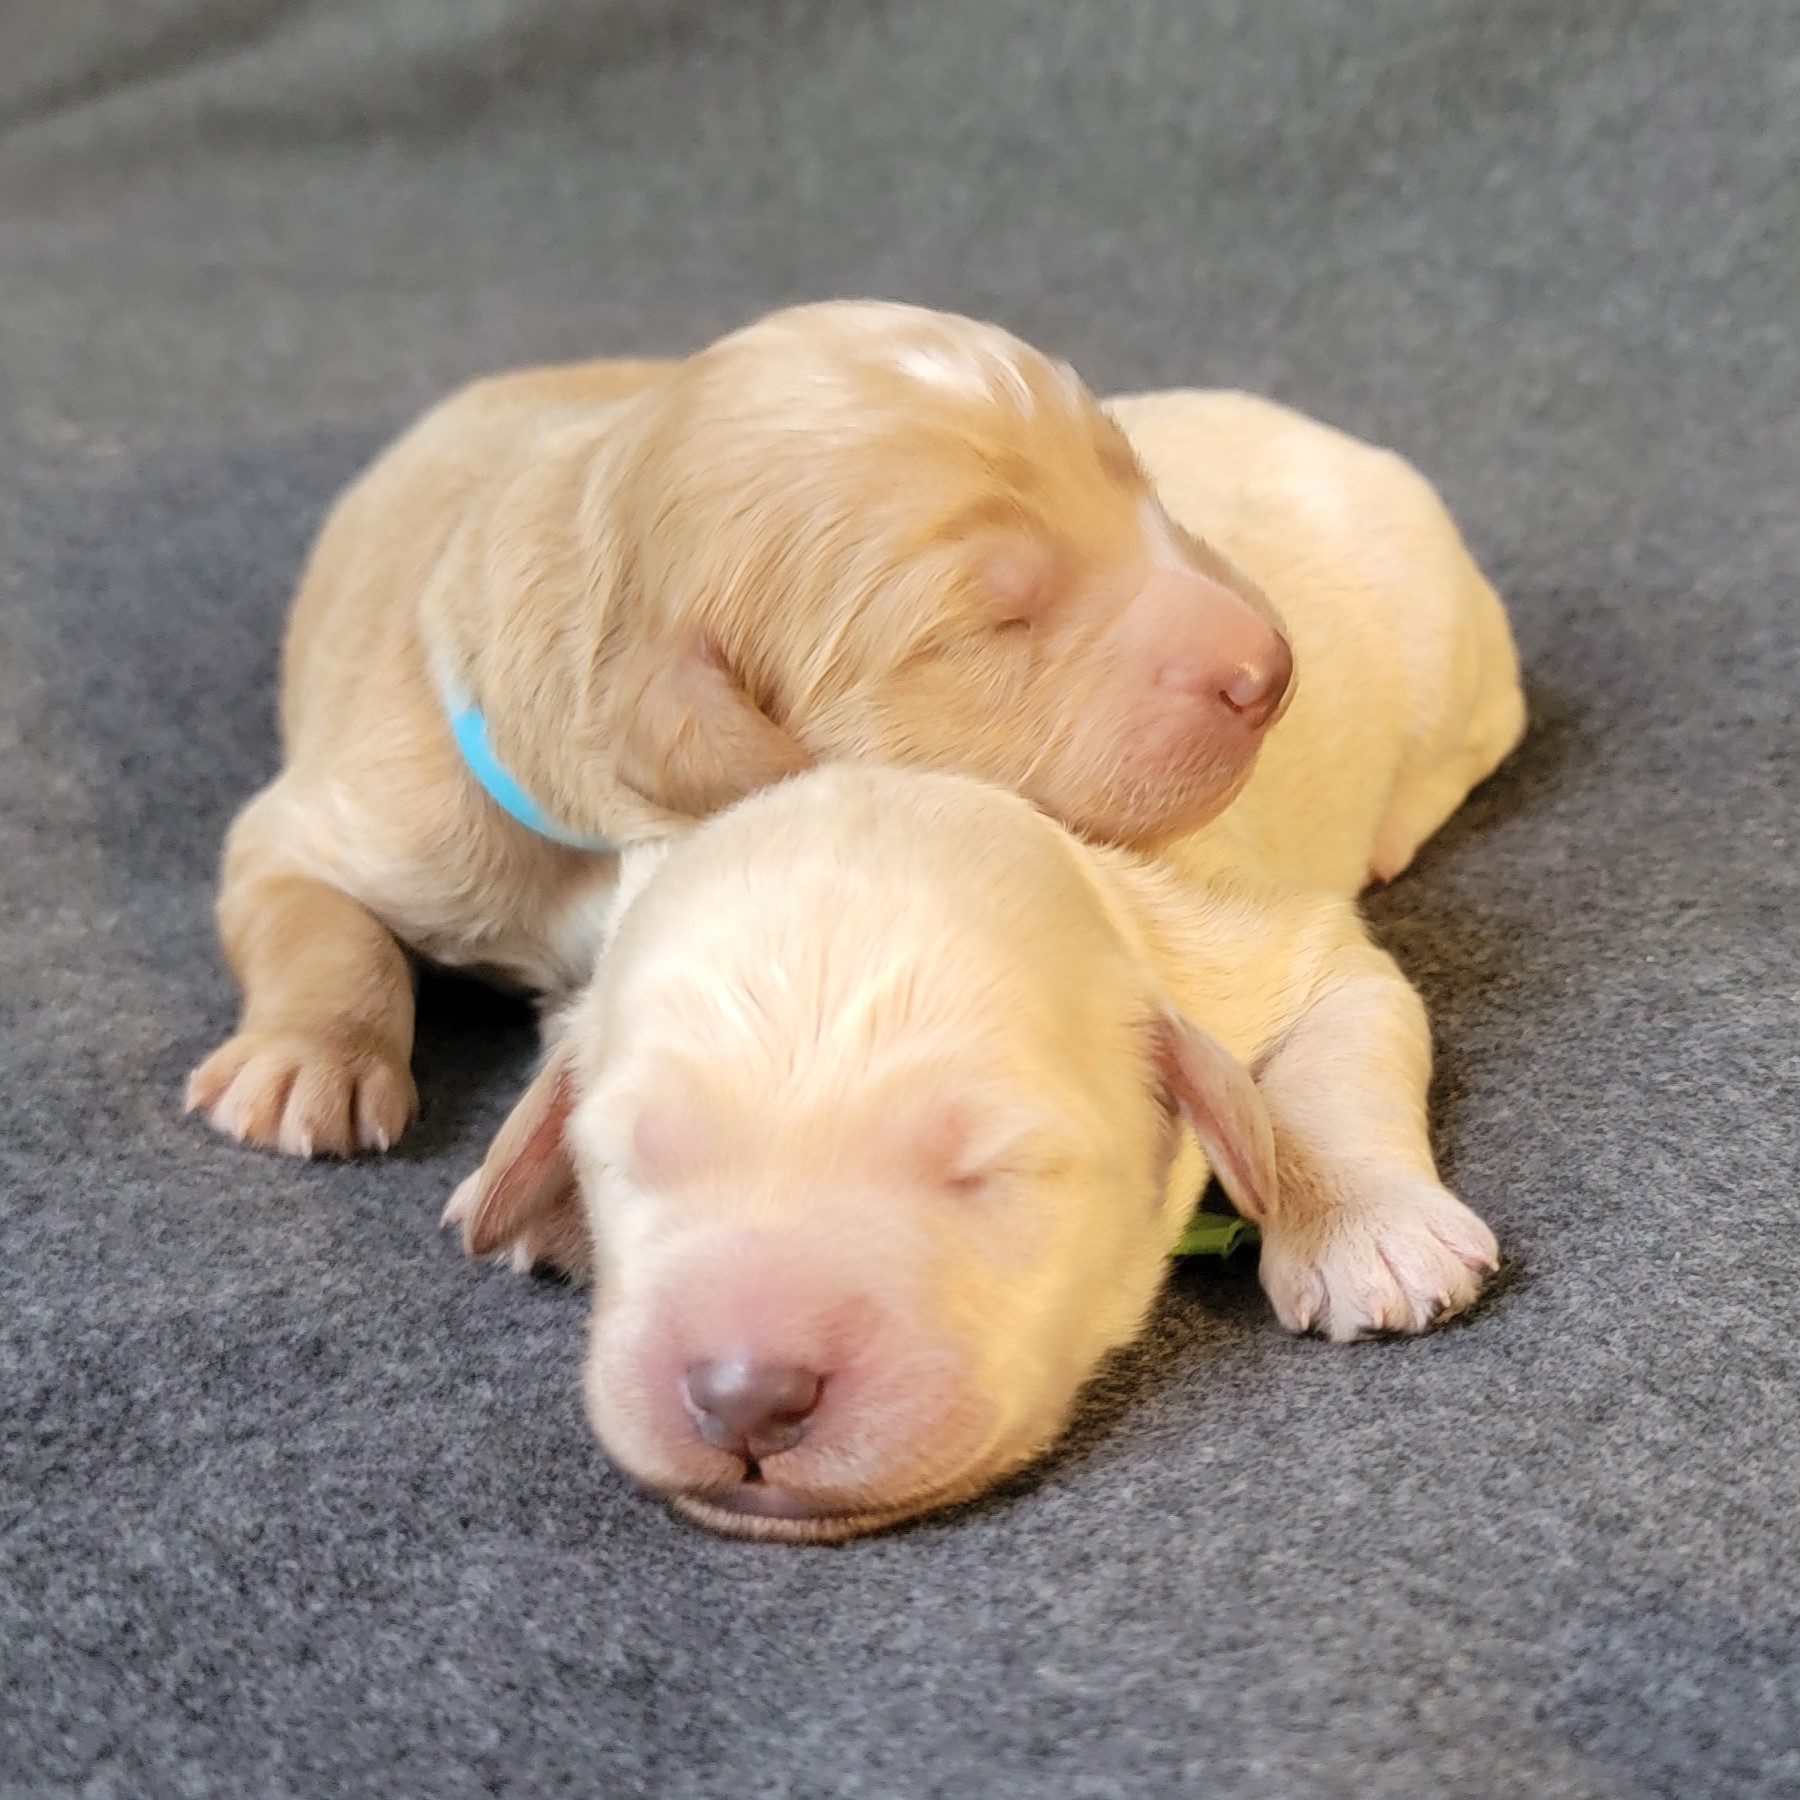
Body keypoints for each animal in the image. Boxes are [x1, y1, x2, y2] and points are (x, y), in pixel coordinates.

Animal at [186, 302, 1298, 1158]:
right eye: (992, 625)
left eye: (1139, 488)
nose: (1273, 670)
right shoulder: (359, 812)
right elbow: (318, 923)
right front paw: (310, 1060)